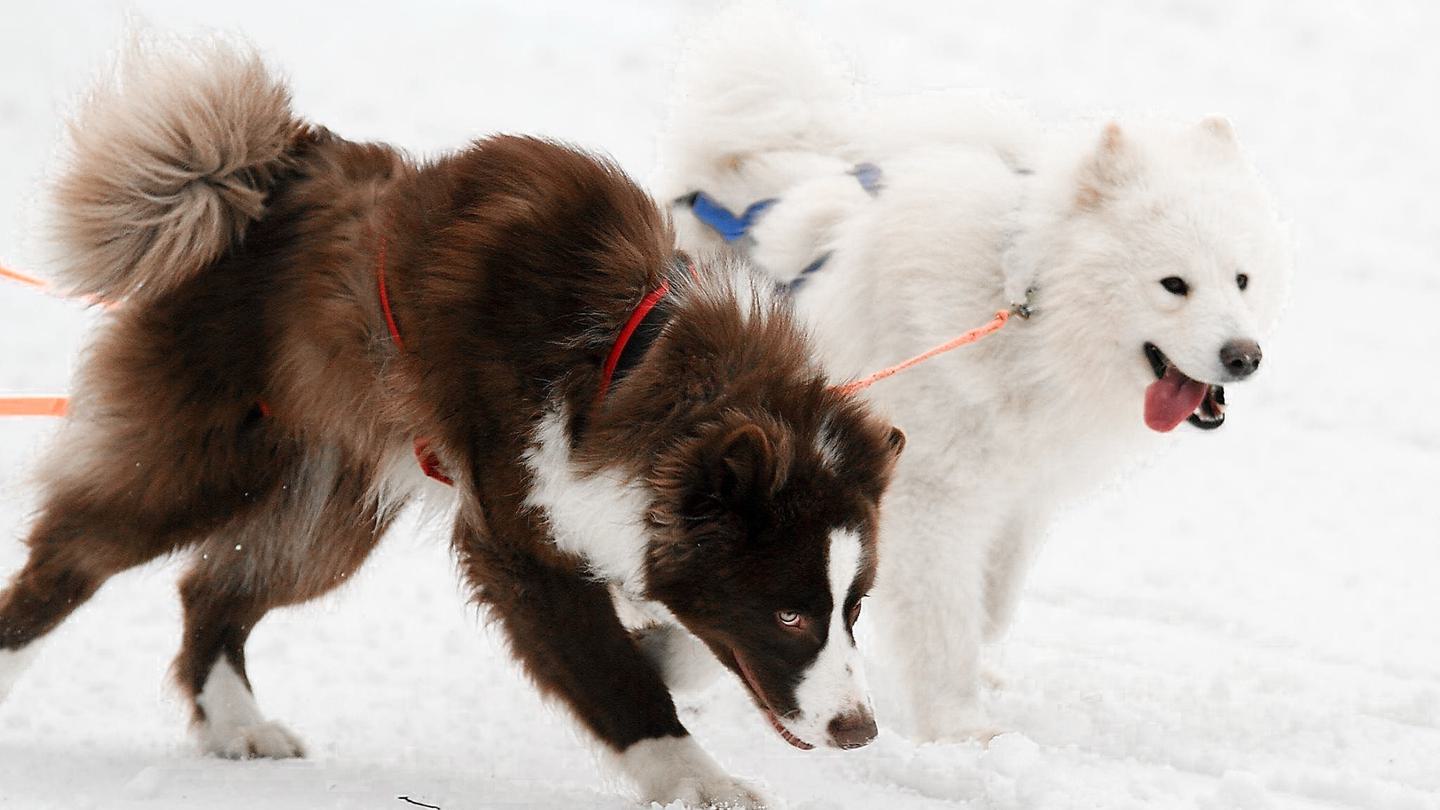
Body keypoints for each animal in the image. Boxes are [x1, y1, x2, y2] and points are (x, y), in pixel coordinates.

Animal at [0, 36, 898, 801]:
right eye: (788, 613)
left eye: (854, 609)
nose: (858, 732)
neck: (623, 357)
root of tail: (254, 180)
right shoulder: (516, 539)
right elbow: (611, 675)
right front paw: (695, 779)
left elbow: (683, 645)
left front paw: (665, 655)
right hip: (204, 460)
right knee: (73, 558)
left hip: (330, 505)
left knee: (210, 589)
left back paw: (236, 724)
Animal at [653, 7, 1296, 737]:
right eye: (1174, 285)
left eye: (1242, 279)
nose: (1244, 357)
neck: (1027, 313)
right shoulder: (931, 499)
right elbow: (943, 622)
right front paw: (961, 728)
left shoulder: (1023, 491)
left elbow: (993, 601)